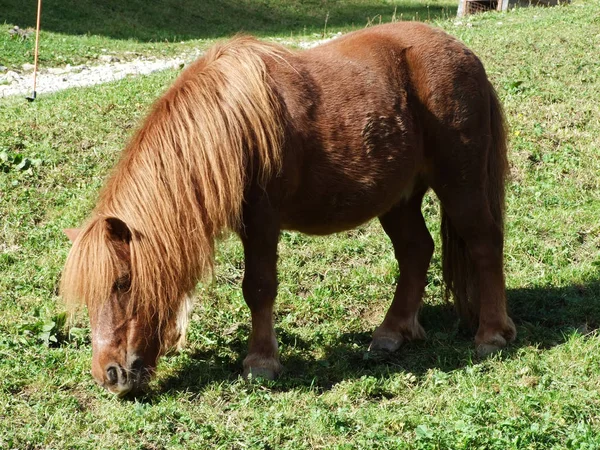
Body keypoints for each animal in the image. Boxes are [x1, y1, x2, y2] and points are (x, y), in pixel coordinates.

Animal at [61, 21, 516, 396]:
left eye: (122, 283)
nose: (109, 374)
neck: (230, 122)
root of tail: (464, 53)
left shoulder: (261, 220)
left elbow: (259, 287)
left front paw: (261, 362)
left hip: (460, 183)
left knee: (484, 243)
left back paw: (491, 335)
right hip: (398, 198)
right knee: (416, 251)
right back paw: (392, 333)